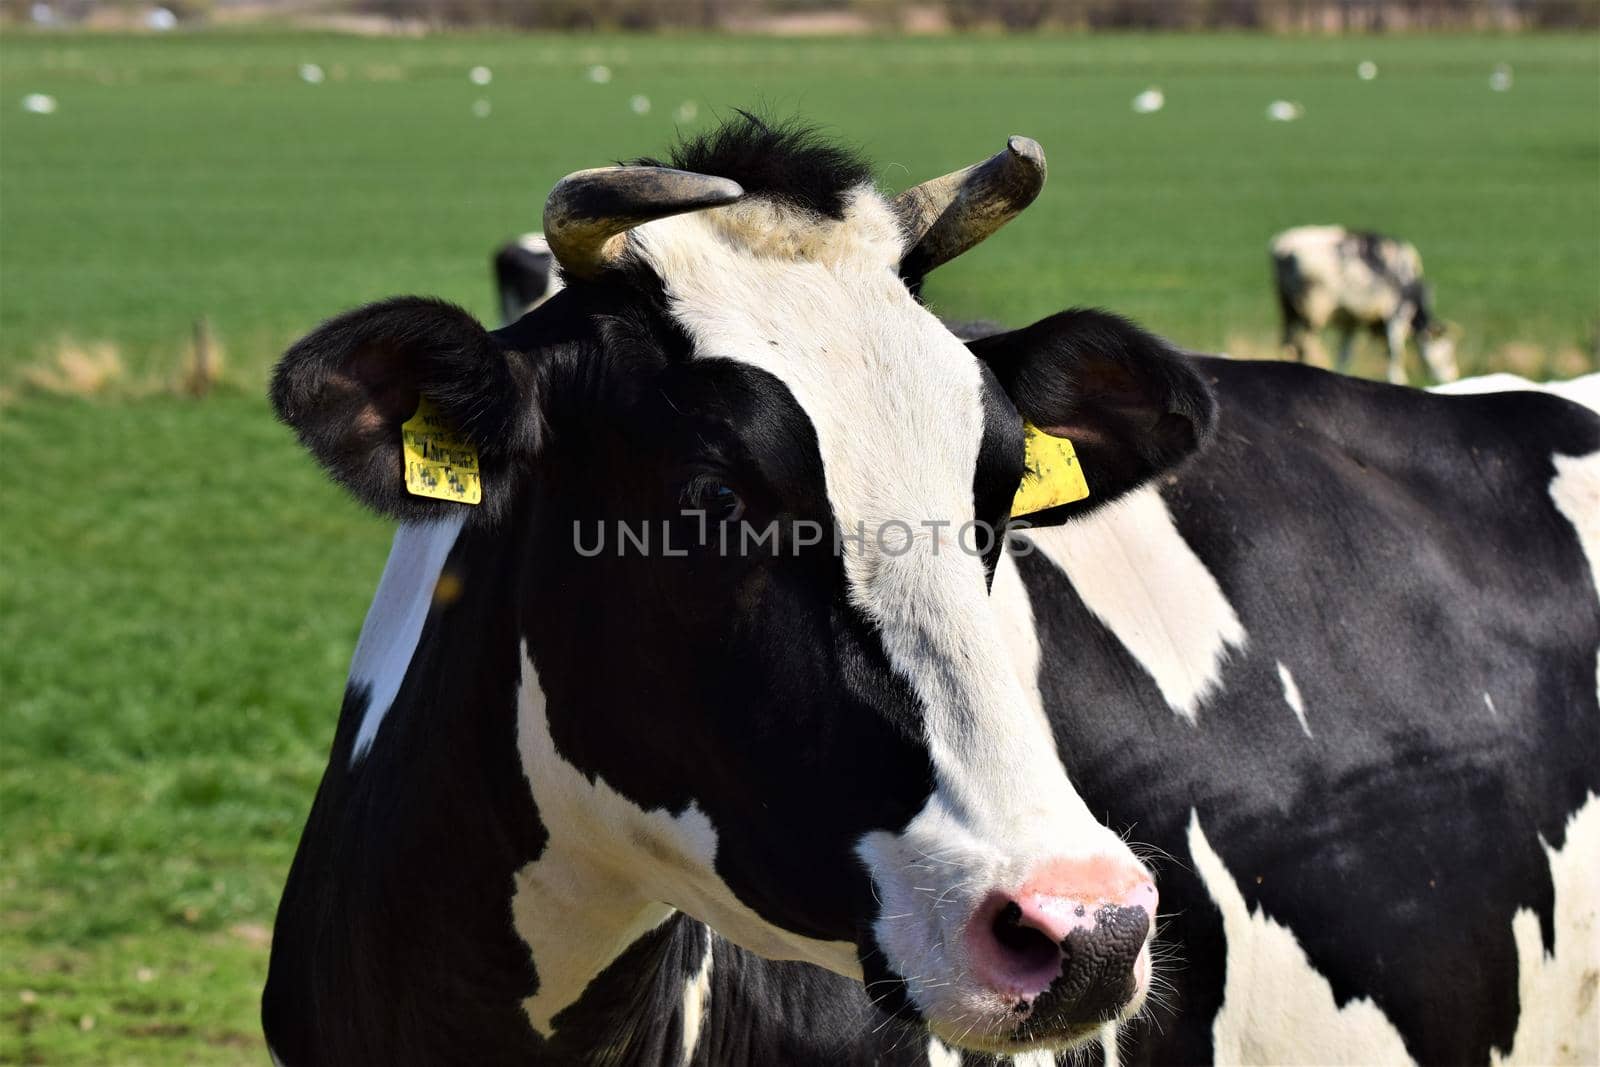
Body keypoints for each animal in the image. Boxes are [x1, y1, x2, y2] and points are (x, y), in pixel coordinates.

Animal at [1267, 225, 1459, 388]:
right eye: (1448, 354)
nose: (1452, 377)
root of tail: (1282, 247)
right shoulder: (1396, 313)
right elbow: (1395, 351)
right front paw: (1398, 379)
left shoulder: (1352, 322)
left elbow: (1345, 355)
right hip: (1313, 309)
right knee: (1302, 347)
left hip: (1287, 309)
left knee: (1288, 345)